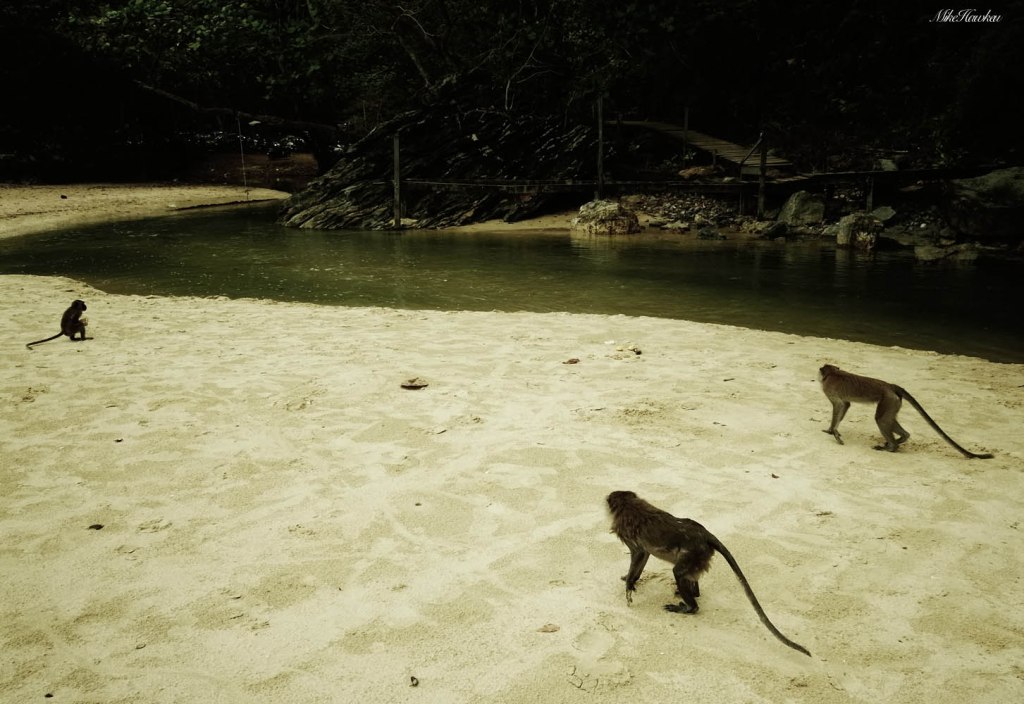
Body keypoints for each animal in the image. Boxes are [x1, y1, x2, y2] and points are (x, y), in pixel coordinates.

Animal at [606, 490, 811, 657]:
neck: (629, 504)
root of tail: (705, 534)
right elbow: (645, 554)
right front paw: (631, 580)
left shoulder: (626, 531)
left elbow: (639, 553)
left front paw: (629, 585)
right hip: (700, 555)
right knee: (686, 575)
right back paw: (691, 593)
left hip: (695, 552)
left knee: (678, 572)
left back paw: (690, 607)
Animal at [818, 364, 993, 459]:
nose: (819, 376)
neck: (832, 373)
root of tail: (890, 386)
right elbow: (846, 405)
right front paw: (833, 431)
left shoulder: (830, 390)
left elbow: (840, 406)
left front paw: (833, 431)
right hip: (893, 402)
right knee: (887, 419)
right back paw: (901, 438)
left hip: (888, 400)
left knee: (881, 419)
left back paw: (892, 447)